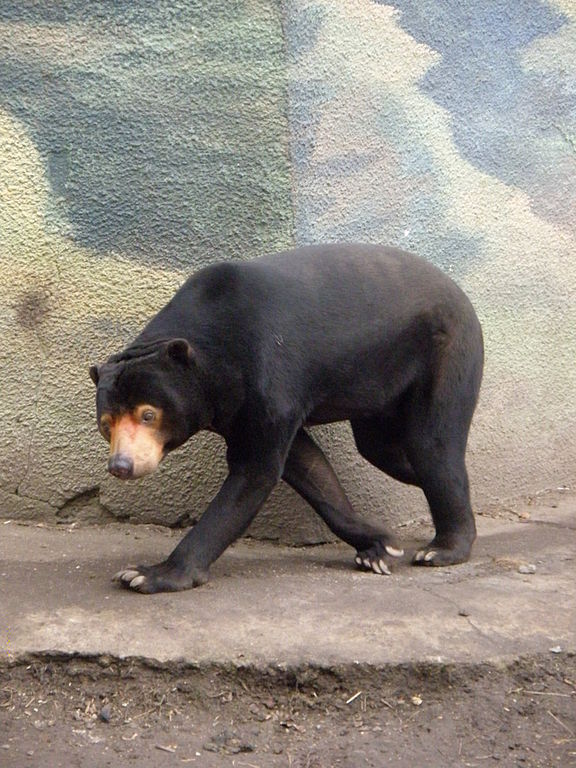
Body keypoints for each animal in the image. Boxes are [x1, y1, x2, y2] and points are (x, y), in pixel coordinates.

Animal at [89, 243, 483, 593]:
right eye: (106, 424)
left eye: (148, 414)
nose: (121, 466)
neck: (214, 360)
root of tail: (461, 294)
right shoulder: (238, 407)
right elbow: (307, 466)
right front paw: (379, 546)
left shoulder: (268, 377)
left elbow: (255, 471)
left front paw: (148, 574)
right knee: (382, 450)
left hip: (446, 354)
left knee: (431, 447)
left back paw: (444, 548)